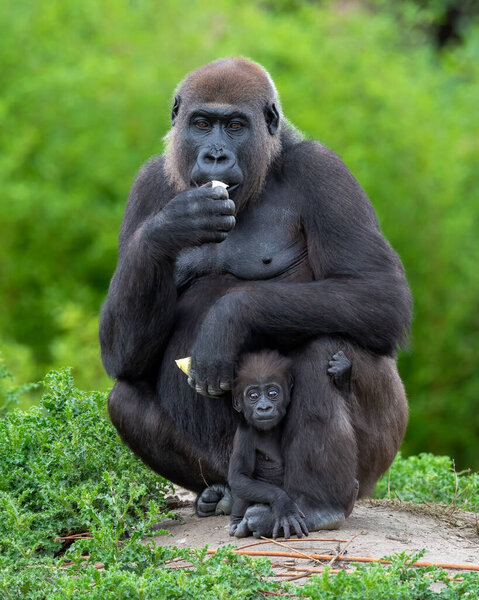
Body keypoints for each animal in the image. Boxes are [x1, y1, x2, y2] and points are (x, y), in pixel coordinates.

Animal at [229, 346, 352, 540]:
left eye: (272, 393)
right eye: (253, 396)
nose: (264, 407)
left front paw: (342, 373)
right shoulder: (244, 433)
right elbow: (239, 476)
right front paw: (284, 504)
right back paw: (239, 522)